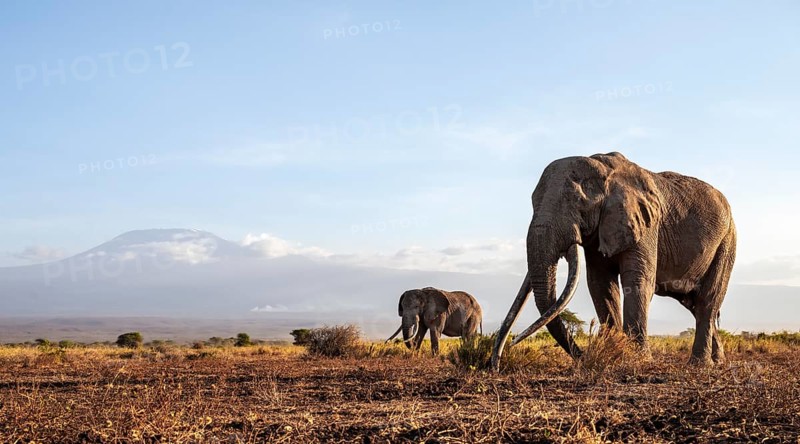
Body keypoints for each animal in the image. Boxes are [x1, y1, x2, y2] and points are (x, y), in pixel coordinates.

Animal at [491, 152, 736, 369]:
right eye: (532, 203)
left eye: (578, 203)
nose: (498, 360)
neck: (604, 169)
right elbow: (600, 284)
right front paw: (615, 352)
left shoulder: (645, 224)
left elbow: (637, 282)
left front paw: (637, 359)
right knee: (693, 304)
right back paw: (718, 361)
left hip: (727, 241)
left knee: (707, 301)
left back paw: (700, 364)